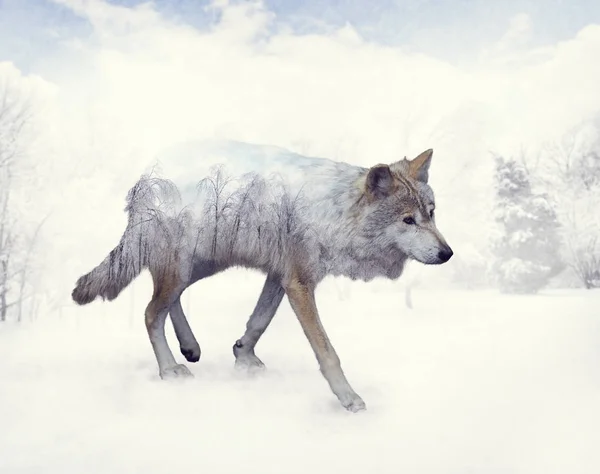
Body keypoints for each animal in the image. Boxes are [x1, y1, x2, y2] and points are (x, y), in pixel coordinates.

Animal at [71, 139, 450, 412]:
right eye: (408, 220)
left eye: (431, 214)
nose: (447, 254)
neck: (336, 213)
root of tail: (146, 179)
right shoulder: (299, 284)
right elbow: (327, 351)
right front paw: (349, 398)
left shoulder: (279, 275)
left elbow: (259, 320)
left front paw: (242, 354)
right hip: (187, 266)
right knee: (152, 312)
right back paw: (170, 369)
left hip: (199, 264)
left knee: (166, 300)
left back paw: (190, 347)